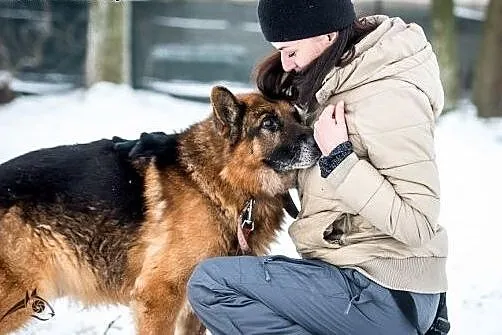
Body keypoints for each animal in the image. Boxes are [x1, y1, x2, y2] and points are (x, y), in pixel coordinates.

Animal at [0, 87, 322, 335]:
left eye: (297, 117)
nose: (318, 142)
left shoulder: (192, 306)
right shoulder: (159, 295)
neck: (213, 180)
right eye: (269, 124)